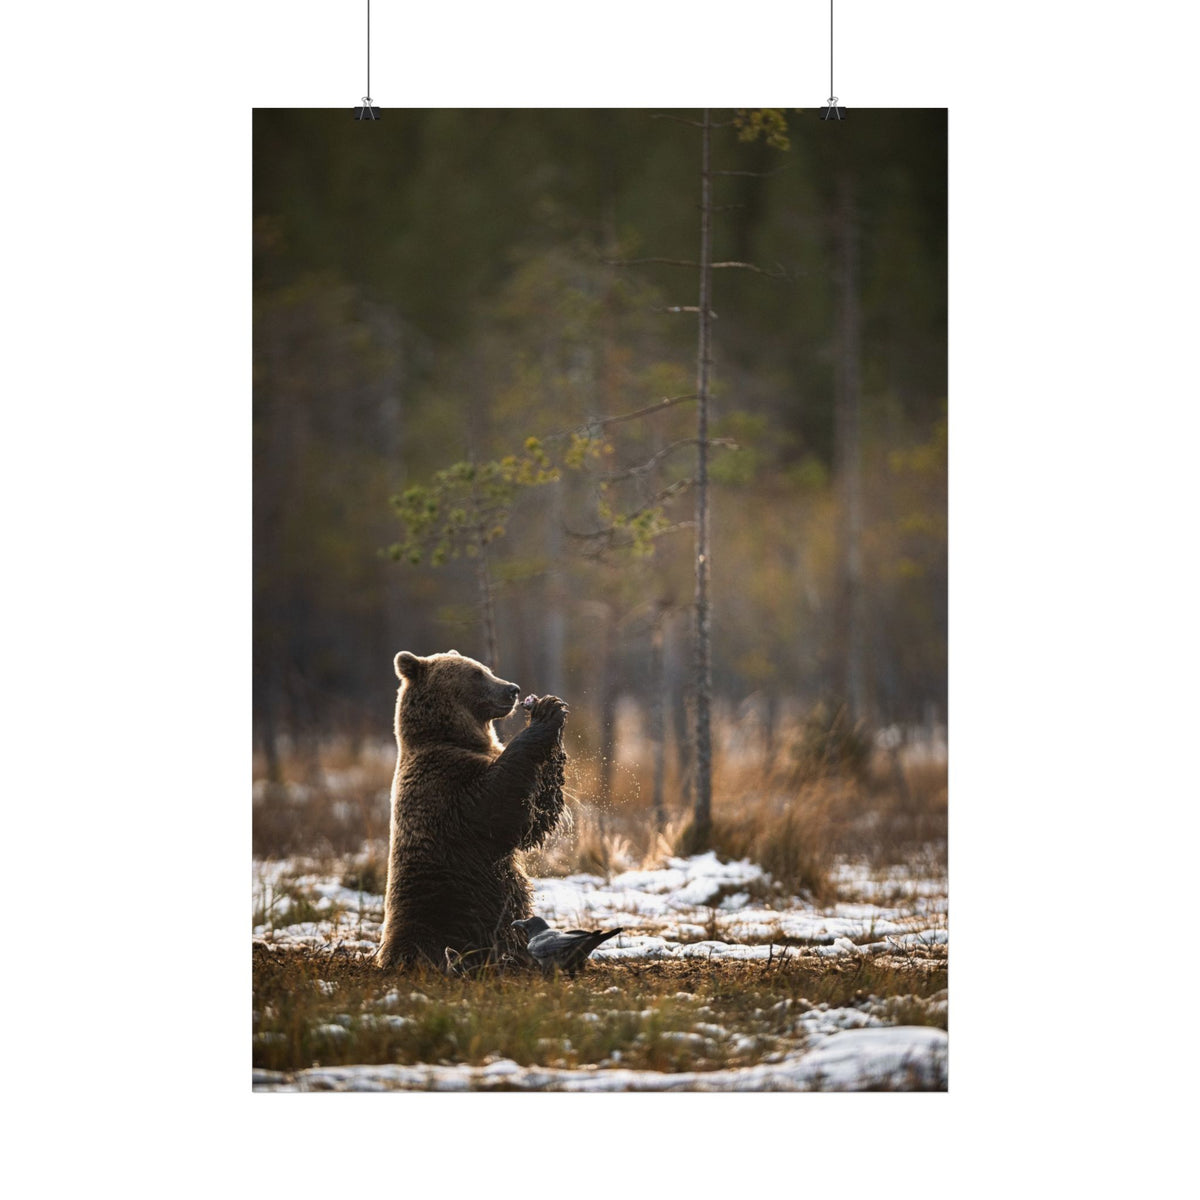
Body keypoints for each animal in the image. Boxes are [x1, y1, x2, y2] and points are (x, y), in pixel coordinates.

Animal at [374, 649, 568, 971]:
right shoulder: (449, 787)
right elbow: (500, 808)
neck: (451, 736)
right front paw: (547, 715)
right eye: (476, 673)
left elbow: (532, 817)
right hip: (443, 911)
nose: (512, 689)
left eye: (486, 669)